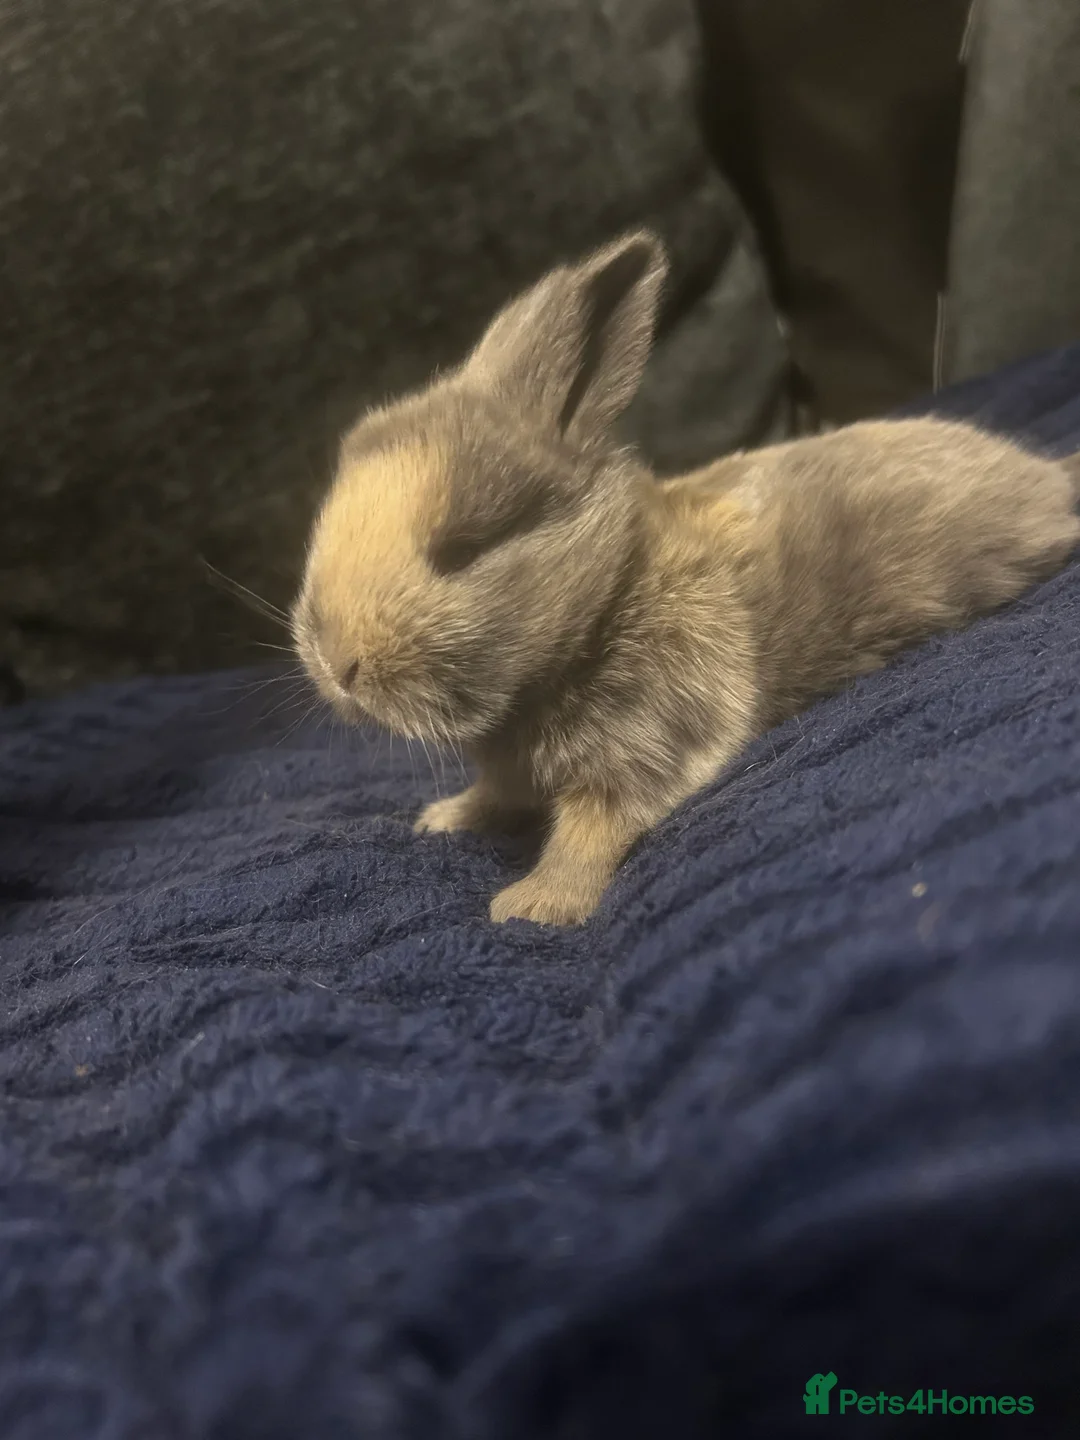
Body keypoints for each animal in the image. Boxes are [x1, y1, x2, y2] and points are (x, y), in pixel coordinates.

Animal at [291, 230, 1080, 926]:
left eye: (465, 548)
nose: (338, 666)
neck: (609, 595)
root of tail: (1046, 480)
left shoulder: (649, 739)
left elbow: (591, 831)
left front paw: (533, 908)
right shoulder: (523, 765)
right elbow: (497, 793)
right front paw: (443, 818)